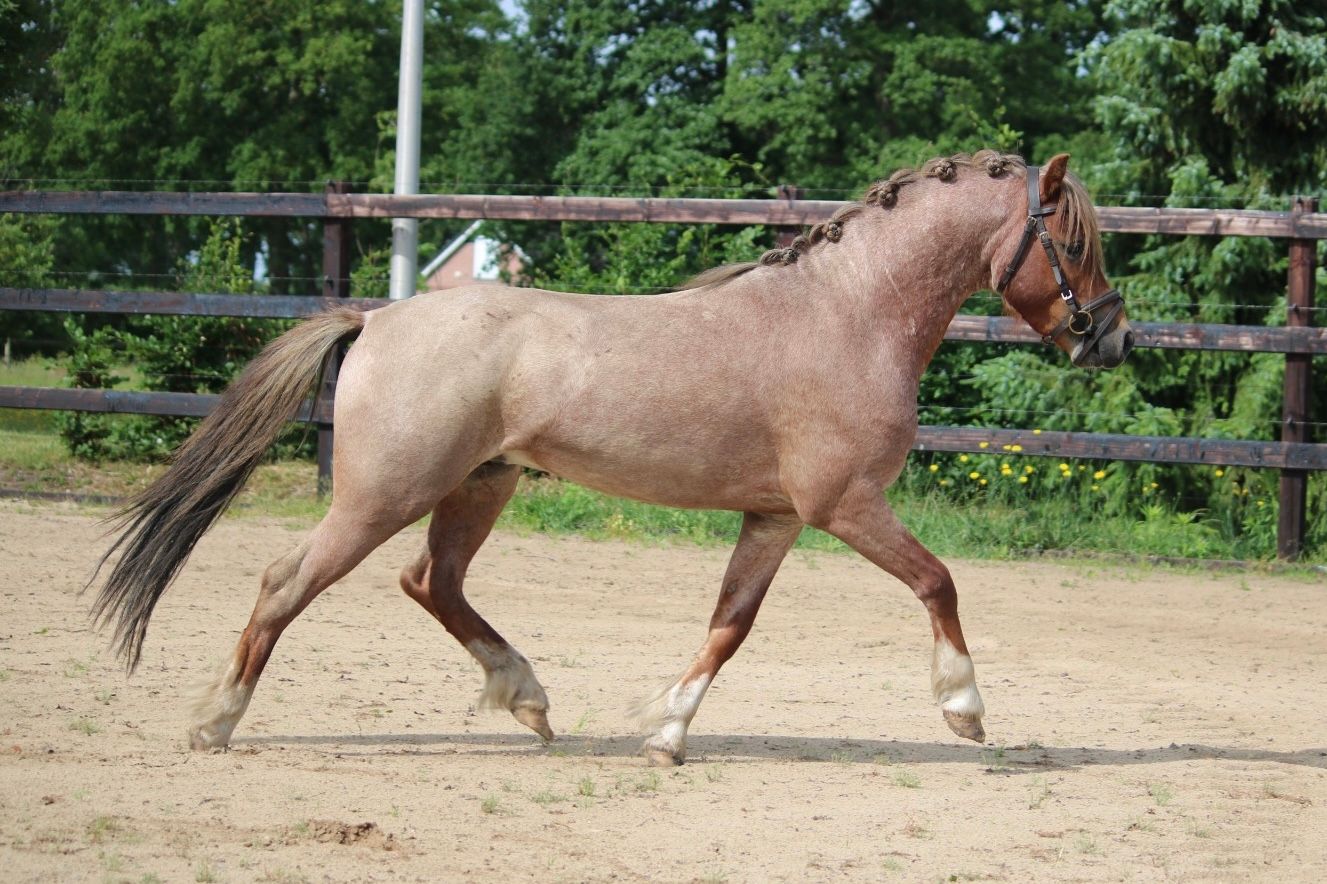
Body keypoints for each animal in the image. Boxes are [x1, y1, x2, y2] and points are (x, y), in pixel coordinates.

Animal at [90, 150, 1132, 766]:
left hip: (479, 487)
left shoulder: (777, 518)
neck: (848, 314)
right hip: (383, 494)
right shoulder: (843, 504)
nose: (1112, 338)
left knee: (432, 582)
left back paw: (528, 699)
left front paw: (666, 733)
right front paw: (965, 709)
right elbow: (937, 581)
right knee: (286, 582)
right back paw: (215, 721)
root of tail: (376, 318)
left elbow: (729, 625)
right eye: (1072, 238)